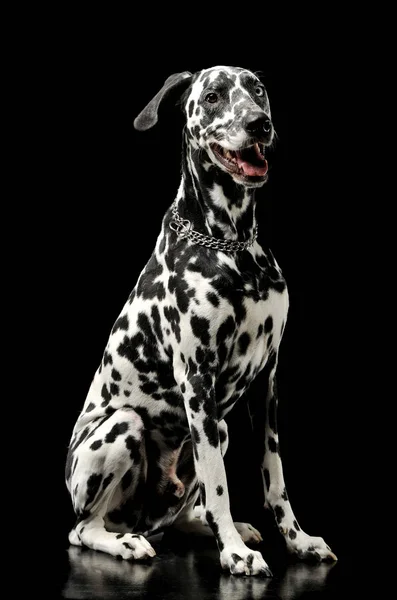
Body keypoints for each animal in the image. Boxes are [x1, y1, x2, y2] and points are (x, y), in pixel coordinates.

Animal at [65, 65, 338, 576]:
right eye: (212, 96)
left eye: (257, 90)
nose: (258, 125)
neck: (232, 246)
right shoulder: (198, 379)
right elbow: (219, 485)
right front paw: (233, 553)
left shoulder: (268, 381)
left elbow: (274, 478)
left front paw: (298, 541)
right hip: (124, 427)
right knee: (83, 529)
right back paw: (127, 543)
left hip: (221, 428)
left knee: (179, 516)